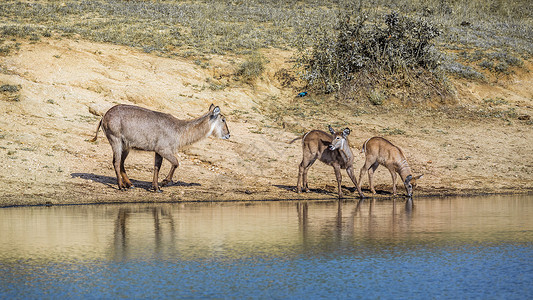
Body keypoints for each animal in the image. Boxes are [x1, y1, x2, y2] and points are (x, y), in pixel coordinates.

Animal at [90, 104, 231, 191]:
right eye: (223, 119)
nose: (228, 135)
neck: (179, 130)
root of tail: (104, 116)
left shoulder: (158, 151)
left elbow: (157, 167)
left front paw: (156, 187)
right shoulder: (164, 149)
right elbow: (176, 163)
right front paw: (164, 182)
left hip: (126, 146)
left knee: (121, 163)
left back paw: (130, 185)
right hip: (116, 140)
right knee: (116, 162)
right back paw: (121, 187)